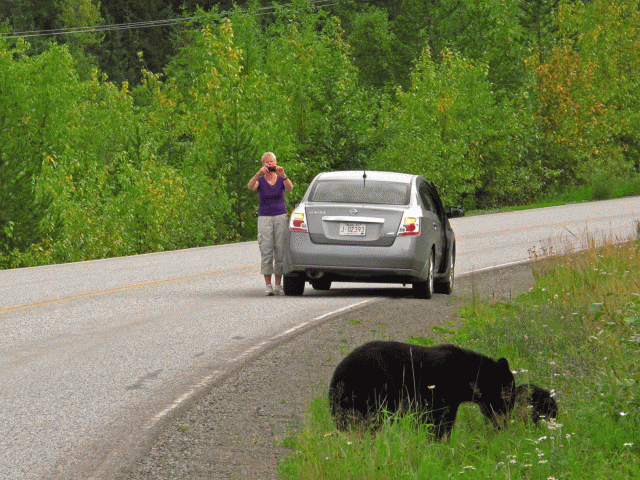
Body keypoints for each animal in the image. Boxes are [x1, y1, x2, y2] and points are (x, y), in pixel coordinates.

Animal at [330, 342, 516, 438]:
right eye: (507, 401)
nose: (504, 426)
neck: (465, 373)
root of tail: (335, 376)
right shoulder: (440, 394)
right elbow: (439, 420)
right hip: (369, 392)